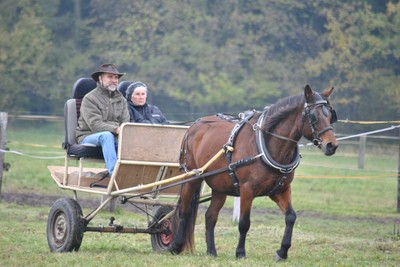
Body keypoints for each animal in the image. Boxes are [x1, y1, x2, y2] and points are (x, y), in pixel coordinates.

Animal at [169, 85, 338, 262]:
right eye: (314, 116)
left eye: (330, 115)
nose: (332, 145)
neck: (267, 145)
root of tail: (194, 126)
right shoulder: (247, 190)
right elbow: (244, 223)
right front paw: (240, 252)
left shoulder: (281, 190)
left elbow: (291, 216)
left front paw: (282, 252)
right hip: (191, 178)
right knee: (184, 210)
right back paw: (176, 246)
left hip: (220, 187)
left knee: (210, 216)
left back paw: (211, 251)